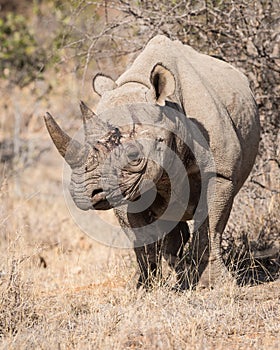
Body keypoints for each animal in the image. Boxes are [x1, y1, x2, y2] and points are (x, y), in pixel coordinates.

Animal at [44, 34, 260, 290]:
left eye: (134, 157)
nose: (84, 193)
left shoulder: (220, 173)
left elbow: (210, 226)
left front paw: (212, 285)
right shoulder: (123, 187)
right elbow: (142, 239)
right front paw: (144, 287)